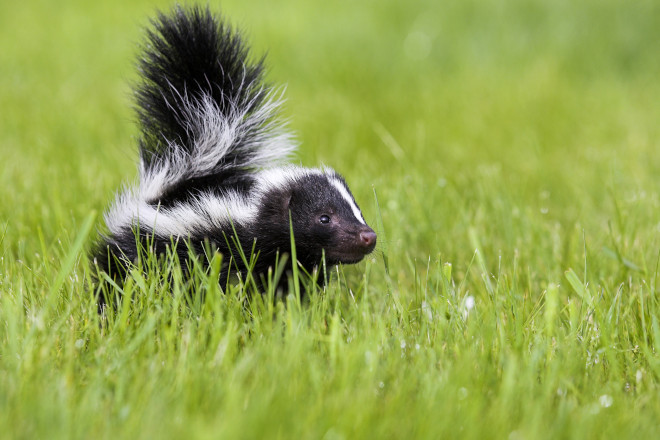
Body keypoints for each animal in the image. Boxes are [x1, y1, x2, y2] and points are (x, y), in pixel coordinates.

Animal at [95, 4, 378, 300]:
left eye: (357, 210)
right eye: (324, 218)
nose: (368, 236)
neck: (254, 212)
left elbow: (291, 282)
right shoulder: (221, 242)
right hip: (140, 242)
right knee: (118, 269)